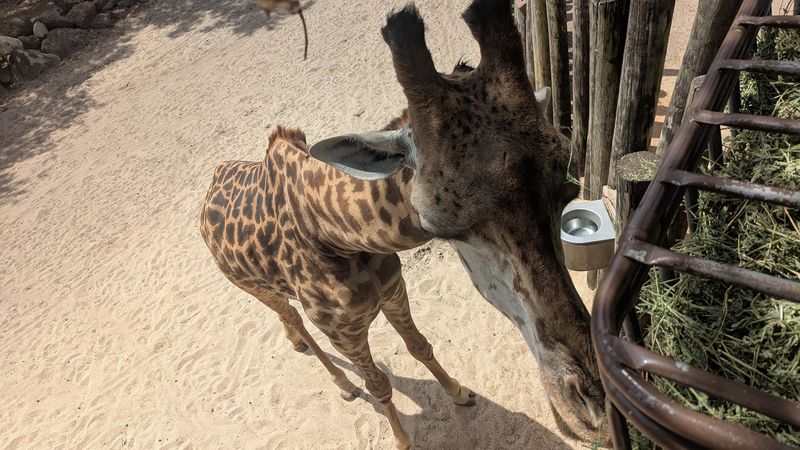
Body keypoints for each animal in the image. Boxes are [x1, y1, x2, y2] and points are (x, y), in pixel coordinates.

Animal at [200, 0, 606, 448]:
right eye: (439, 226)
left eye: (567, 188)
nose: (593, 410)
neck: (334, 233)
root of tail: (211, 183)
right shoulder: (345, 332)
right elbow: (378, 384)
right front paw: (402, 439)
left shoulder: (395, 291)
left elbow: (420, 347)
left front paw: (459, 392)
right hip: (256, 290)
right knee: (295, 321)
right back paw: (342, 383)